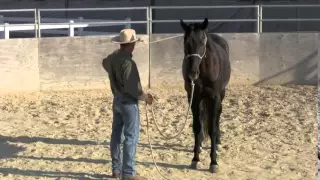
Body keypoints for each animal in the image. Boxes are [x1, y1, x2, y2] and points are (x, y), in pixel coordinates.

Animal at [180, 17, 230, 173]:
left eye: (202, 43)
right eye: (186, 42)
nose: (192, 74)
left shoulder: (215, 97)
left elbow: (212, 128)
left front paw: (214, 162)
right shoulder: (193, 97)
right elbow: (197, 126)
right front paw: (195, 159)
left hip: (221, 94)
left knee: (218, 116)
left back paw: (218, 143)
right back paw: (201, 144)